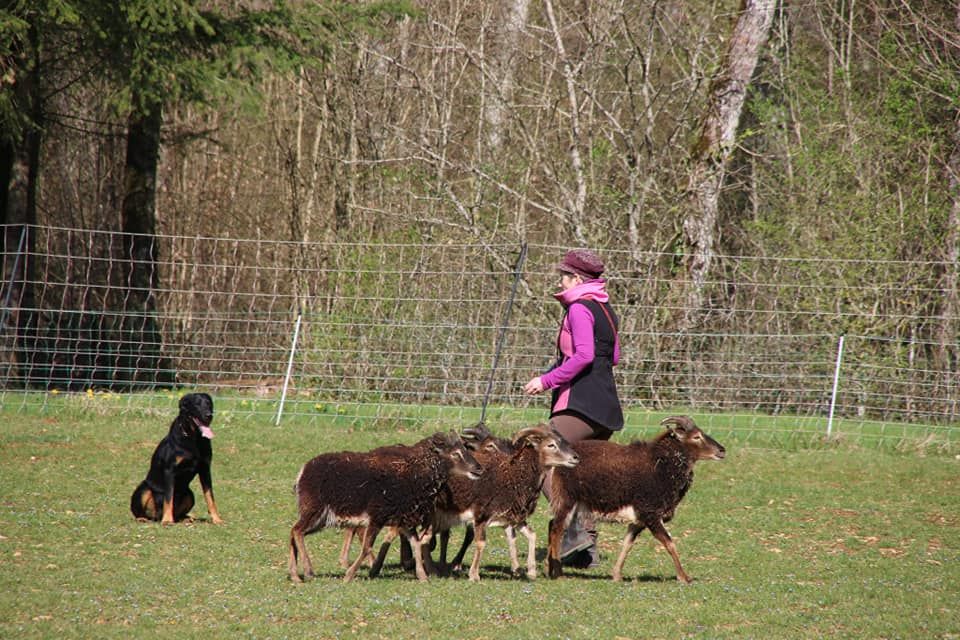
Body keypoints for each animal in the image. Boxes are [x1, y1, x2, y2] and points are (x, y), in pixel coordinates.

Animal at [129, 390, 225, 524]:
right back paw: (146, 518)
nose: (209, 415)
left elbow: (210, 496)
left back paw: (186, 518)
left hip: (189, 493)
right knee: (141, 511)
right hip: (144, 488)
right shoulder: (170, 470)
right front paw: (167, 520)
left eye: (209, 403)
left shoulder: (205, 470)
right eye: (197, 404)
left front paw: (217, 519)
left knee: (180, 513)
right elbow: (169, 497)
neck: (194, 437)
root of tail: (156, 517)